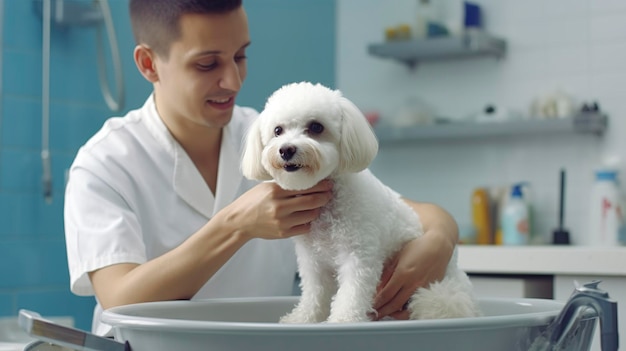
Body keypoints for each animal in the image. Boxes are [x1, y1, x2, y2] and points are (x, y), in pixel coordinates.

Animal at [240, 82, 478, 324]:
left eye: (316, 127)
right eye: (278, 131)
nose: (286, 149)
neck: (328, 208)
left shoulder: (359, 255)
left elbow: (351, 293)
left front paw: (344, 320)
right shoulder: (313, 262)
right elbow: (314, 293)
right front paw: (304, 318)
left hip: (439, 294)